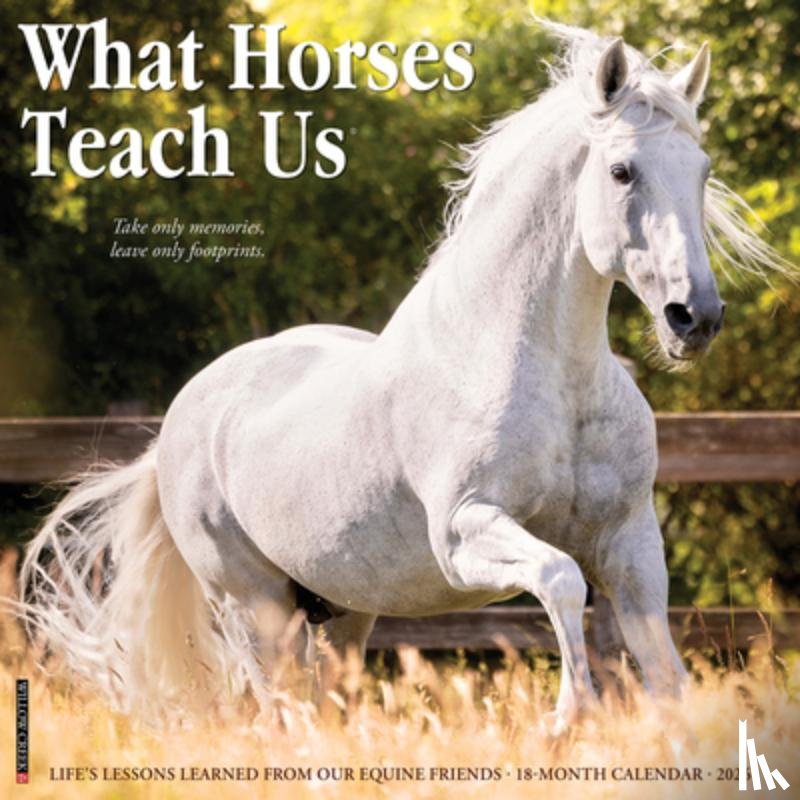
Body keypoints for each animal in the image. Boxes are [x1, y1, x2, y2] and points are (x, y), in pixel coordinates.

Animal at [17, 22, 788, 731]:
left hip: (344, 608)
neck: (551, 380)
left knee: (324, 698)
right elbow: (560, 579)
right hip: (255, 606)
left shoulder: (630, 544)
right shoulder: (466, 534)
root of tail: (178, 423)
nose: (695, 318)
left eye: (703, 171)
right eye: (622, 171)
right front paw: (570, 716)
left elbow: (664, 670)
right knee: (277, 706)